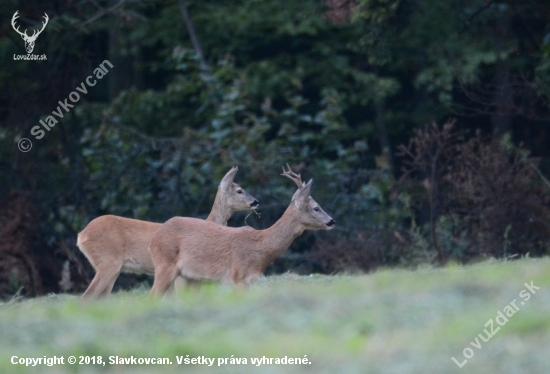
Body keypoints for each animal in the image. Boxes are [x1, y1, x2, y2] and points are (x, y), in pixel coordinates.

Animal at [149, 167, 334, 296]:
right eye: (316, 208)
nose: (332, 221)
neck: (260, 248)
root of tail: (154, 238)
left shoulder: (252, 280)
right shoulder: (237, 276)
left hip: (190, 277)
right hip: (165, 265)